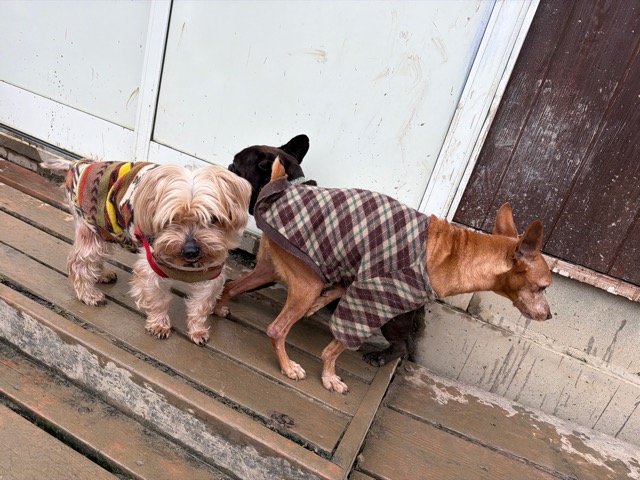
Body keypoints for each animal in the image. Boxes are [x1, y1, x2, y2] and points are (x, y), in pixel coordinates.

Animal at [44, 158, 251, 345]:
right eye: (171, 219)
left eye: (213, 219)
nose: (190, 251)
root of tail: (77, 164)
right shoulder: (152, 266)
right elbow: (158, 298)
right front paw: (159, 326)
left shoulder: (212, 270)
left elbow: (202, 303)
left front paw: (198, 330)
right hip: (95, 225)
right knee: (78, 261)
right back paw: (89, 295)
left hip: (106, 230)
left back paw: (102, 275)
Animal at [238, 158, 552, 393]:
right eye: (543, 287)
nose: (550, 316)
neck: (457, 254)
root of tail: (282, 190)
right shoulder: (369, 302)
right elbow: (336, 347)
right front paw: (329, 376)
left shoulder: (357, 282)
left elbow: (337, 298)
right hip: (313, 284)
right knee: (277, 329)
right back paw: (288, 365)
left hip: (276, 269)